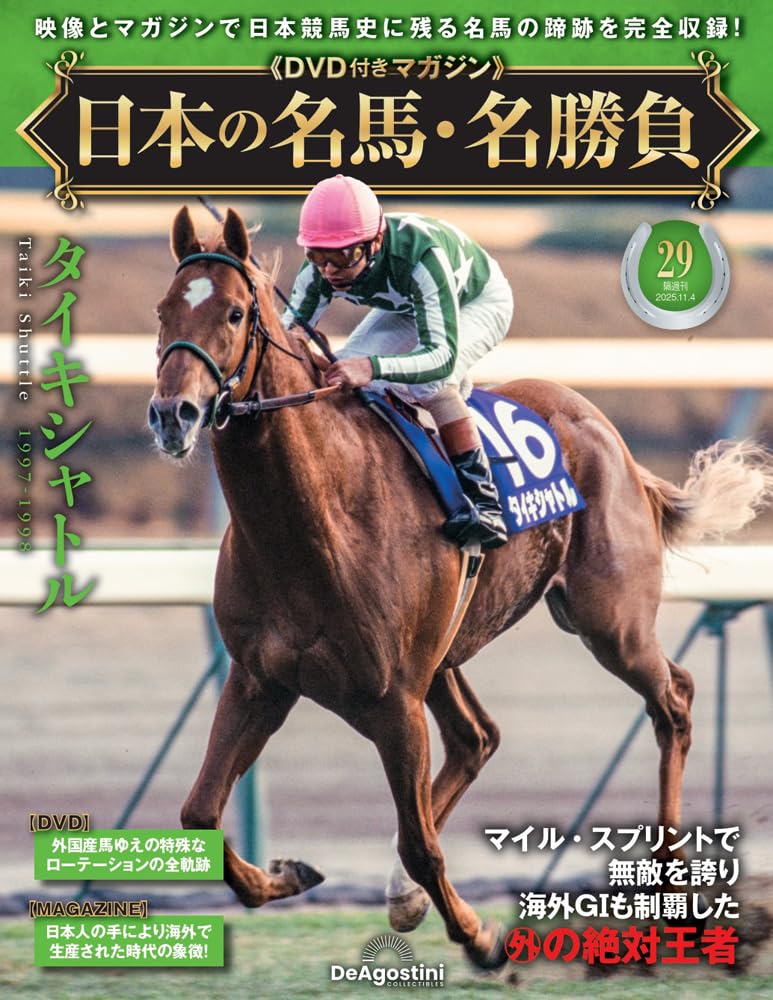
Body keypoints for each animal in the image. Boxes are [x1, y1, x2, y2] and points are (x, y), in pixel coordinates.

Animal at [148, 206, 773, 969]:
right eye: (162, 311)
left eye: (235, 312)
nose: (171, 414)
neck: (311, 519)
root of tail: (611, 436)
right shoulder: (260, 678)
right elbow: (200, 813)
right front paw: (289, 874)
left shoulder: (392, 699)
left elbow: (422, 842)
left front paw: (478, 936)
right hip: (446, 651)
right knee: (478, 737)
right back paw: (406, 894)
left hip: (609, 621)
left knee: (672, 699)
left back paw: (668, 883)